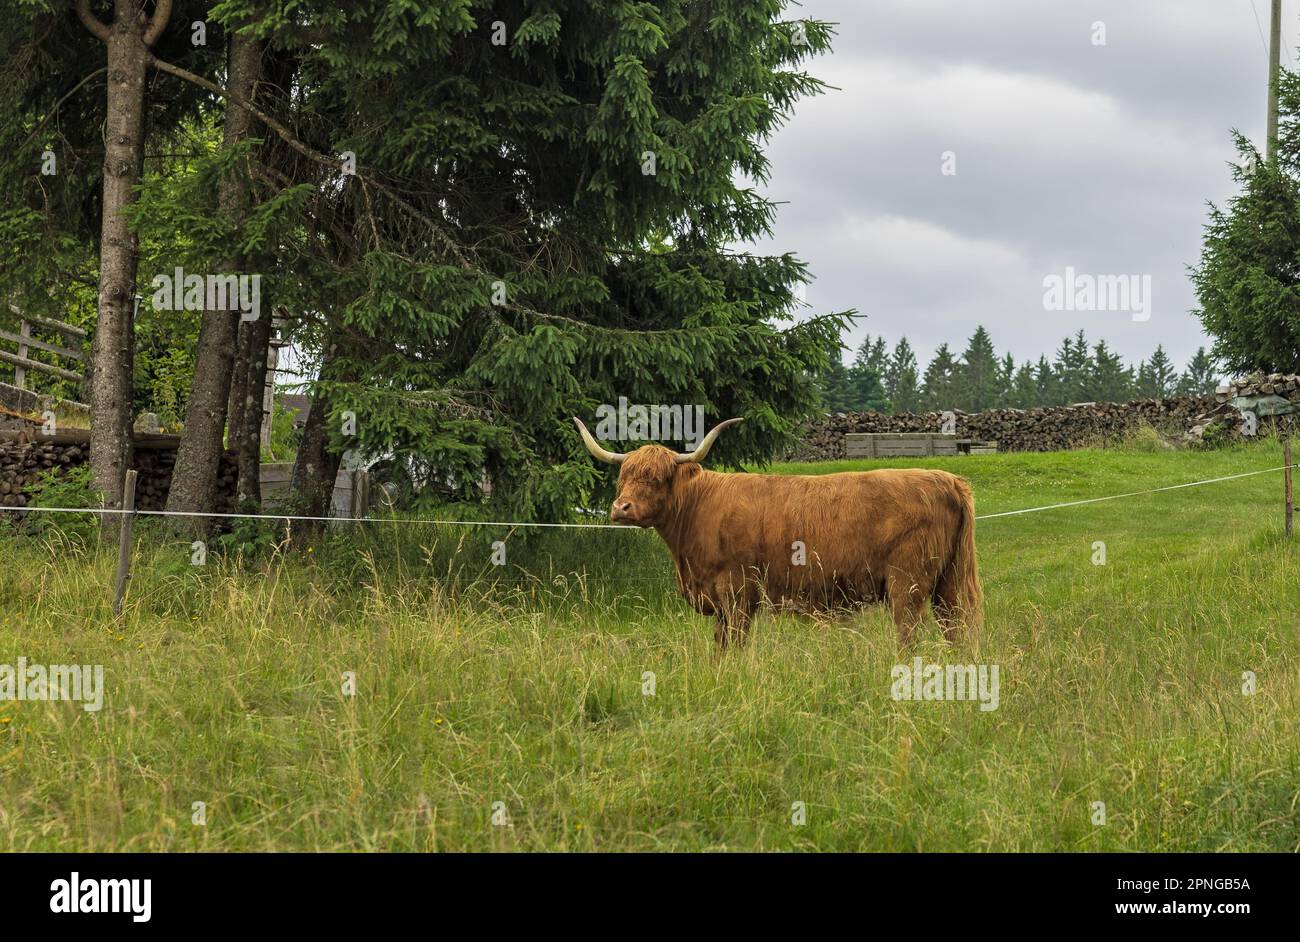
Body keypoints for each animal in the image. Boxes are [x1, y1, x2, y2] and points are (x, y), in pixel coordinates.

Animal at [574, 418, 977, 647]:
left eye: (655, 479)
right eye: (623, 477)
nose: (620, 508)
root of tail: (946, 478)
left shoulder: (736, 593)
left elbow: (734, 644)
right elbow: (720, 645)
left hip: (906, 583)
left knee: (909, 633)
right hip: (948, 583)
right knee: (956, 630)